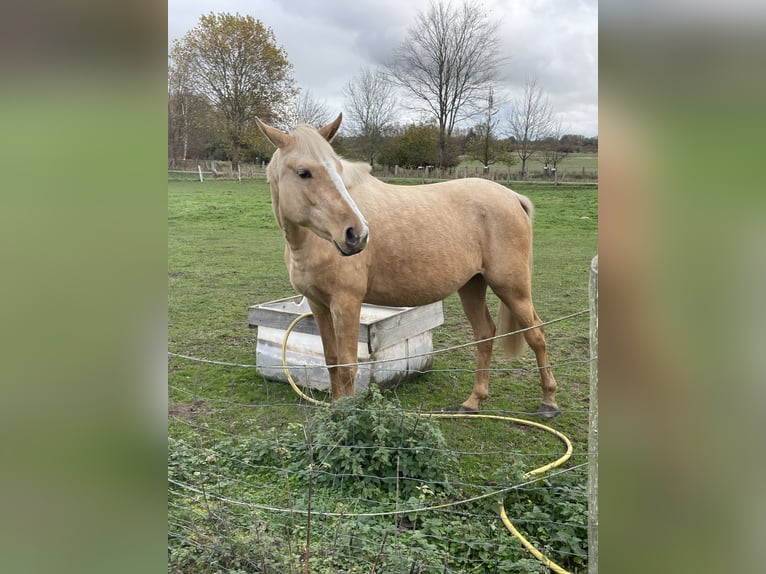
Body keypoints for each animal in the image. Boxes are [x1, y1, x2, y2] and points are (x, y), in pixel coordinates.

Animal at [255, 113, 560, 418]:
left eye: (338, 169)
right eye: (304, 172)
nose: (357, 234)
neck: (313, 241)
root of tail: (513, 197)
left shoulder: (346, 303)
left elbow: (347, 367)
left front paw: (347, 417)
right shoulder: (318, 305)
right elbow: (331, 361)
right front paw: (335, 412)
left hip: (512, 288)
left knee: (536, 334)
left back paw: (548, 402)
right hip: (472, 285)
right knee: (485, 335)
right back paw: (473, 401)